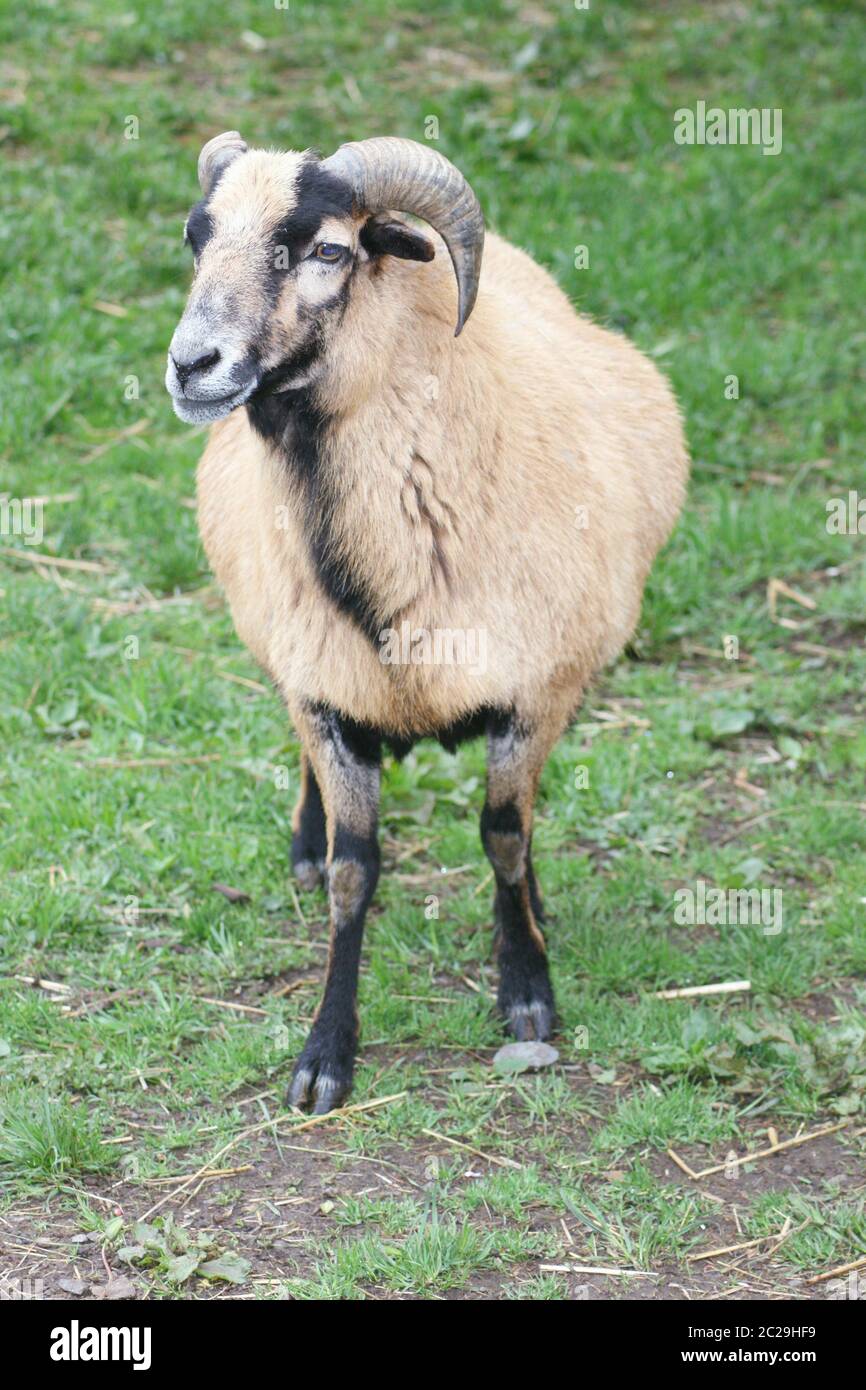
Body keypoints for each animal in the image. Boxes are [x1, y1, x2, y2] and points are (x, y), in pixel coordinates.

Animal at [166, 132, 686, 1117]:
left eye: (329, 249)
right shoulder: (326, 693)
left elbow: (504, 836)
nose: (191, 365)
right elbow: (353, 872)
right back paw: (304, 843)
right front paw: (325, 1054)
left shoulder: (535, 690)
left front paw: (526, 985)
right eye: (197, 238)